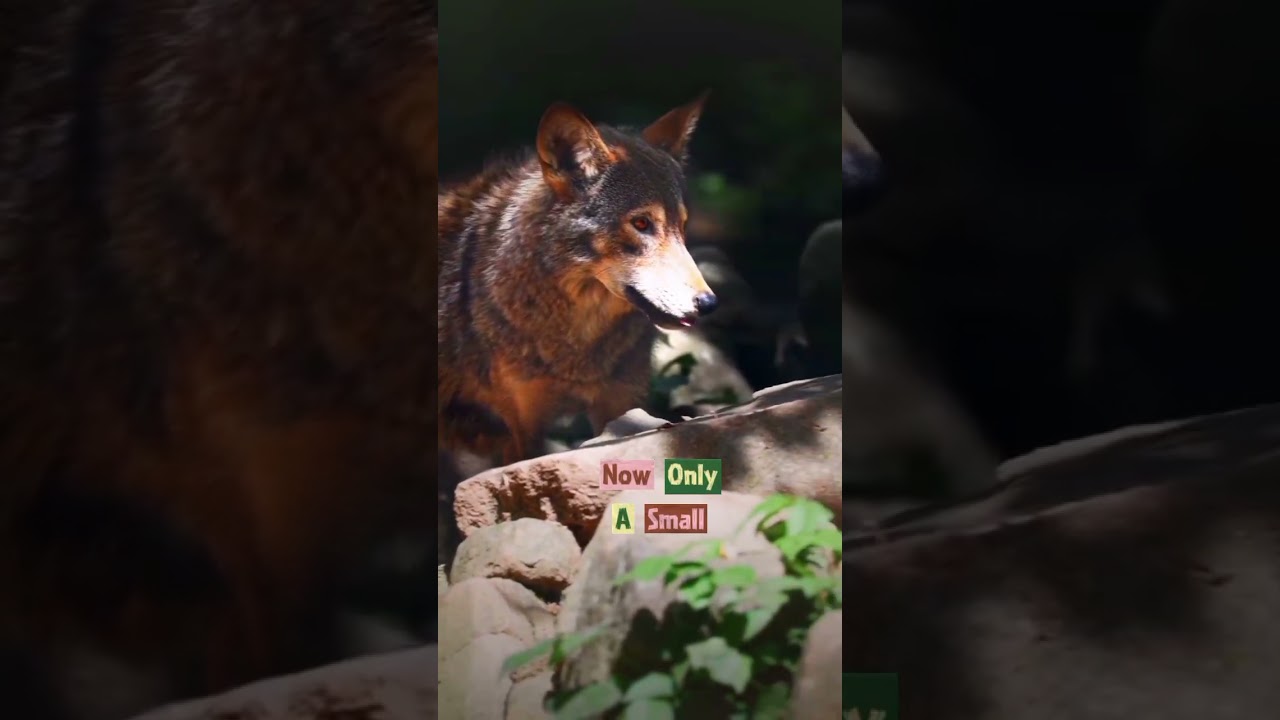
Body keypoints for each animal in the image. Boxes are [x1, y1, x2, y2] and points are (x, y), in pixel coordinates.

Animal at [438, 95, 718, 465]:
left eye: (681, 227)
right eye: (642, 223)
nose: (709, 303)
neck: (578, 348)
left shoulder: (623, 405)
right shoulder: (522, 426)